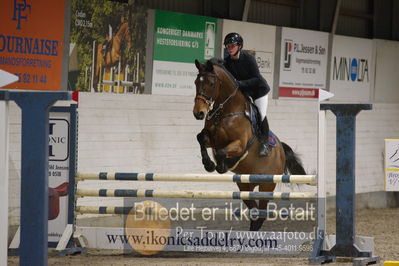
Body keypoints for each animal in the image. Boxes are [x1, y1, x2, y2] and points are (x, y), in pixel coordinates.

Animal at [194, 57, 306, 231]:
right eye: (195, 82)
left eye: (211, 84)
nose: (198, 113)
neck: (226, 111)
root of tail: (281, 150)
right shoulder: (212, 139)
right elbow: (200, 138)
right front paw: (208, 164)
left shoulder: (239, 145)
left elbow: (222, 152)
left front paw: (222, 165)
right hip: (245, 187)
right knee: (255, 213)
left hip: (267, 187)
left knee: (261, 213)